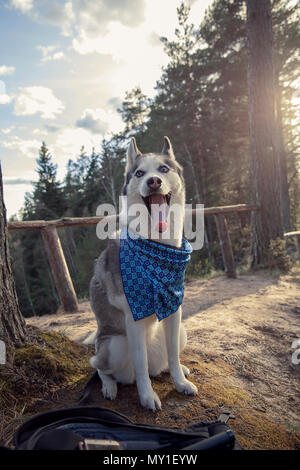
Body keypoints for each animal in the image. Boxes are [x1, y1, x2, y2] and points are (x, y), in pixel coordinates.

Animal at [86, 138, 198, 410]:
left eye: (163, 169)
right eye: (139, 173)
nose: (153, 181)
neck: (157, 247)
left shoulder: (174, 311)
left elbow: (173, 354)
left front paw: (180, 382)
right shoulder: (133, 320)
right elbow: (140, 365)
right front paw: (147, 397)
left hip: (182, 331)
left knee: (164, 361)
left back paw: (173, 370)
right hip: (114, 345)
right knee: (99, 367)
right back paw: (109, 385)